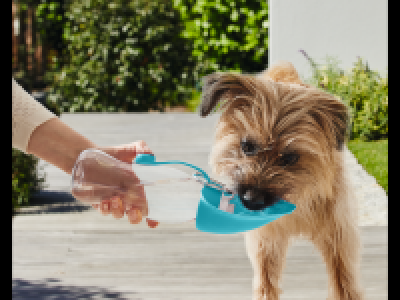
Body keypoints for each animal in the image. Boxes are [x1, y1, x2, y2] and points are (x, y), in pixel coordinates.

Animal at [198, 61, 364, 300]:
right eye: (246, 146)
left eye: (290, 158)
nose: (251, 200)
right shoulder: (265, 242)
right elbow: (266, 283)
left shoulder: (339, 239)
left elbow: (345, 284)